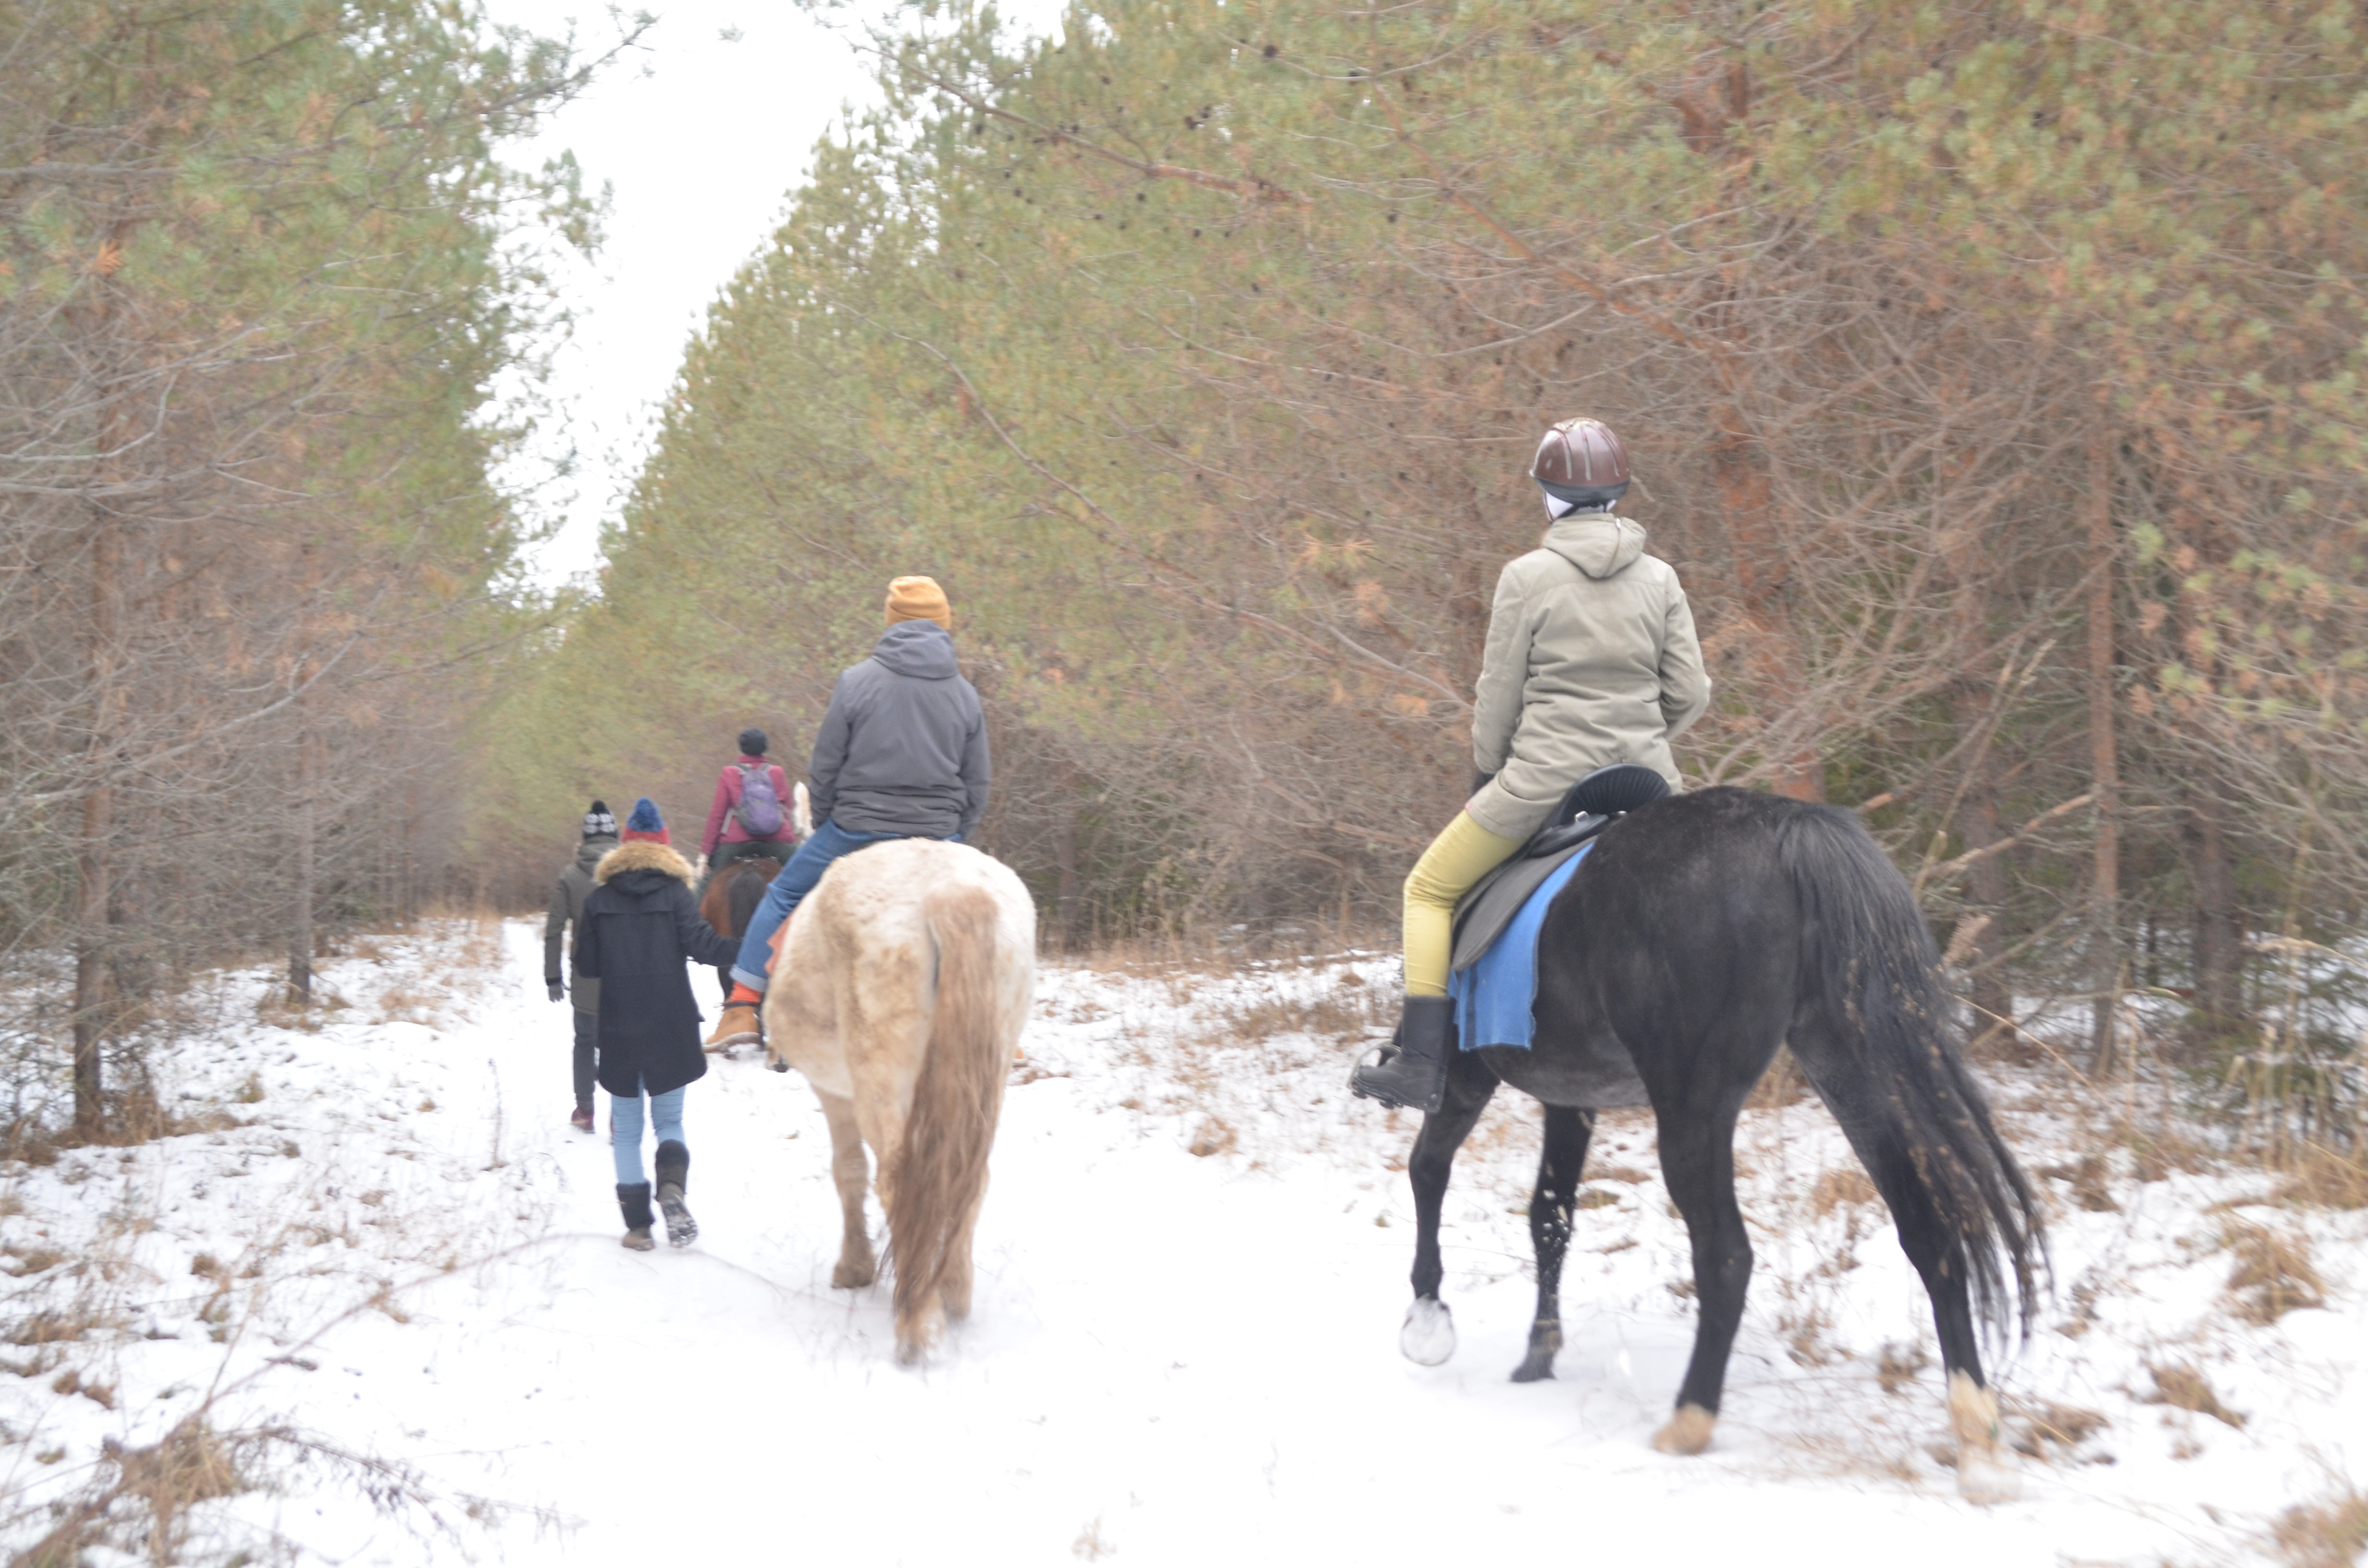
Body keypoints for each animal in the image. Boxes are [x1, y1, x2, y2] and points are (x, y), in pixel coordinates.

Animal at [762, 843, 1042, 1373]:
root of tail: (953, 892)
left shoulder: (835, 1093)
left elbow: (848, 1171)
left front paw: (854, 1266)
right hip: (987, 1078)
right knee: (970, 1180)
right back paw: (952, 1293)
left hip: (881, 1085)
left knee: (897, 1181)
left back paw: (919, 1326)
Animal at [1392, 791, 2046, 1506]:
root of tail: (1791, 826)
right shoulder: (1571, 1097)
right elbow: (1550, 1218)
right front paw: (1539, 1354)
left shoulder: (1466, 1079)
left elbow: (1428, 1172)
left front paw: (1427, 1320)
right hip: (1854, 1073)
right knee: (1931, 1234)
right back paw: (1978, 1441)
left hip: (1693, 1109)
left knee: (1726, 1257)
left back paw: (1688, 1420)